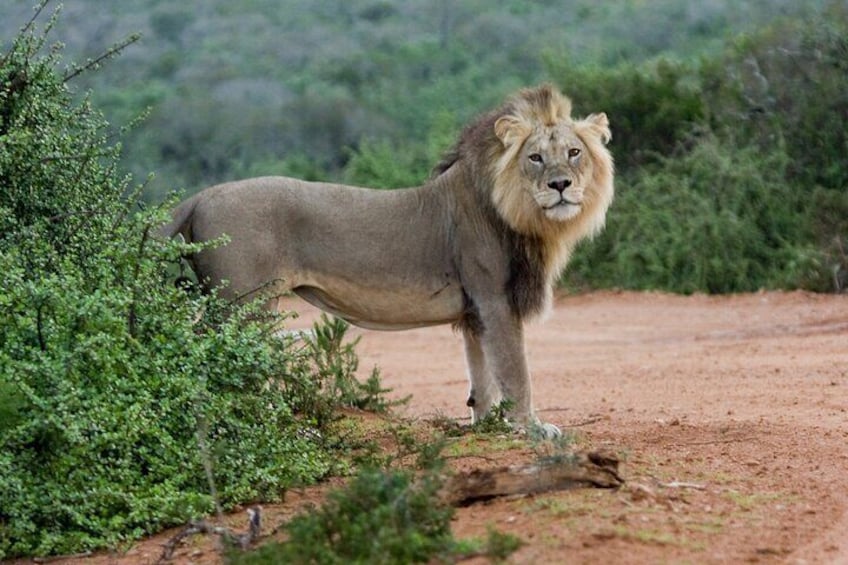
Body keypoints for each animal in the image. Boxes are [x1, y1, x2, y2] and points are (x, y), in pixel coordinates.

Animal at [161, 83, 608, 436]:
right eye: (535, 158)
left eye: (573, 153)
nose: (560, 184)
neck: (518, 212)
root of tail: (201, 196)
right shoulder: (495, 300)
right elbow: (516, 370)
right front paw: (532, 428)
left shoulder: (476, 311)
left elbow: (482, 376)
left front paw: (487, 426)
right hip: (242, 305)